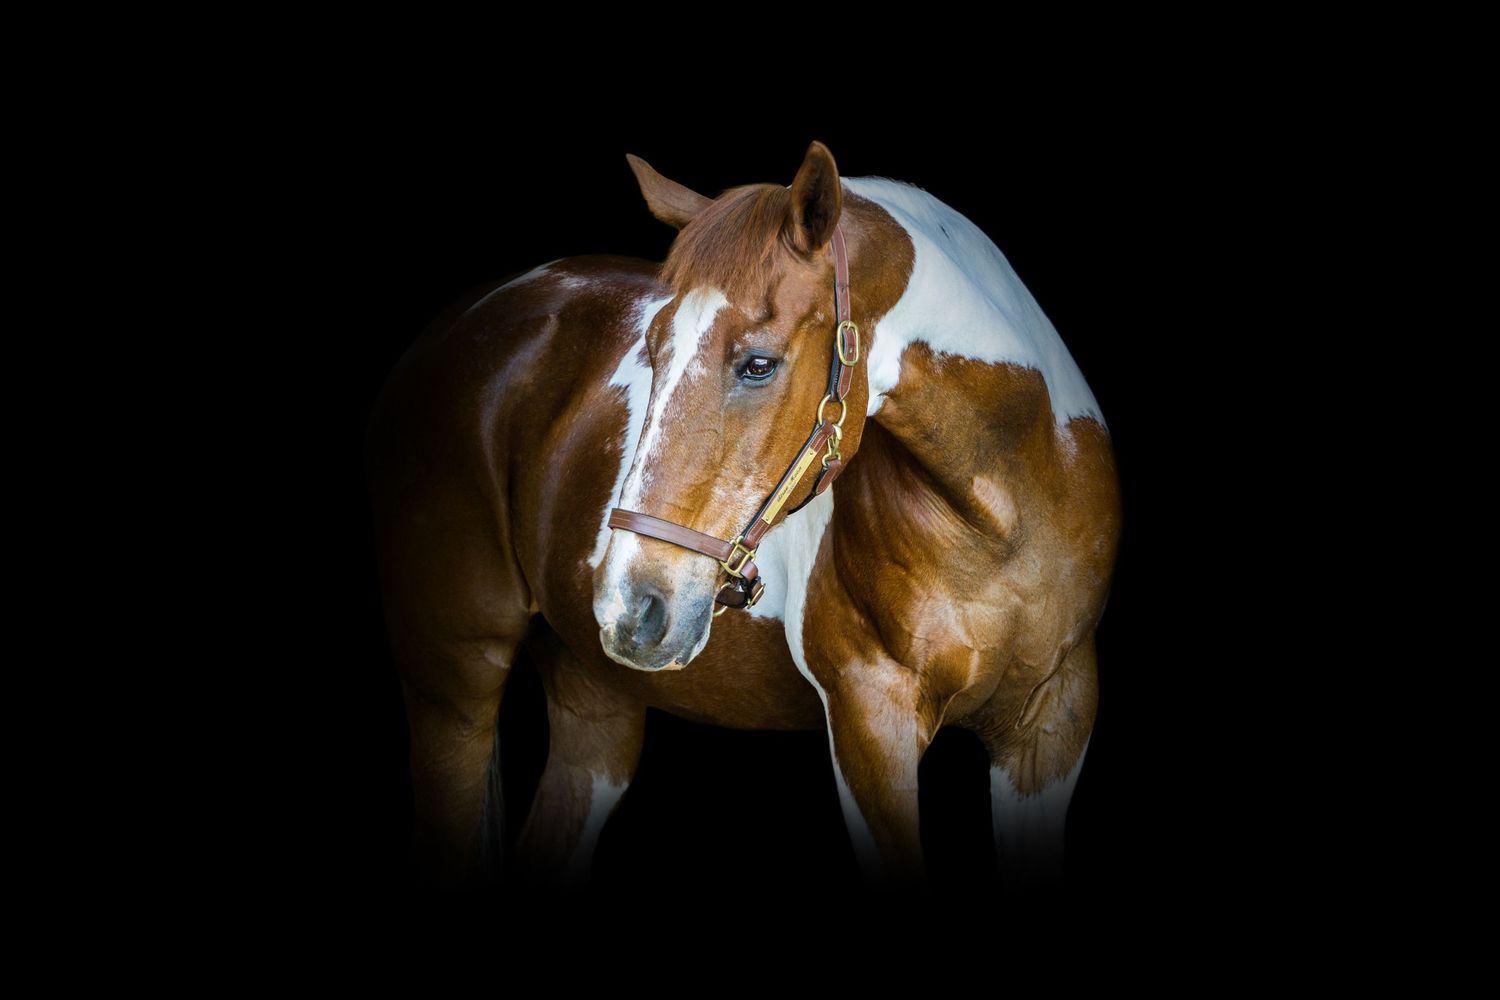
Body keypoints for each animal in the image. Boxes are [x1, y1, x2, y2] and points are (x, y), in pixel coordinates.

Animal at [365, 141, 1121, 890]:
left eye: (758, 364)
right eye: (651, 348)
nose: (629, 605)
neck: (1004, 522)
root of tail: (456, 328)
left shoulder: (1051, 725)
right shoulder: (871, 725)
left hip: (594, 702)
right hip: (455, 683)